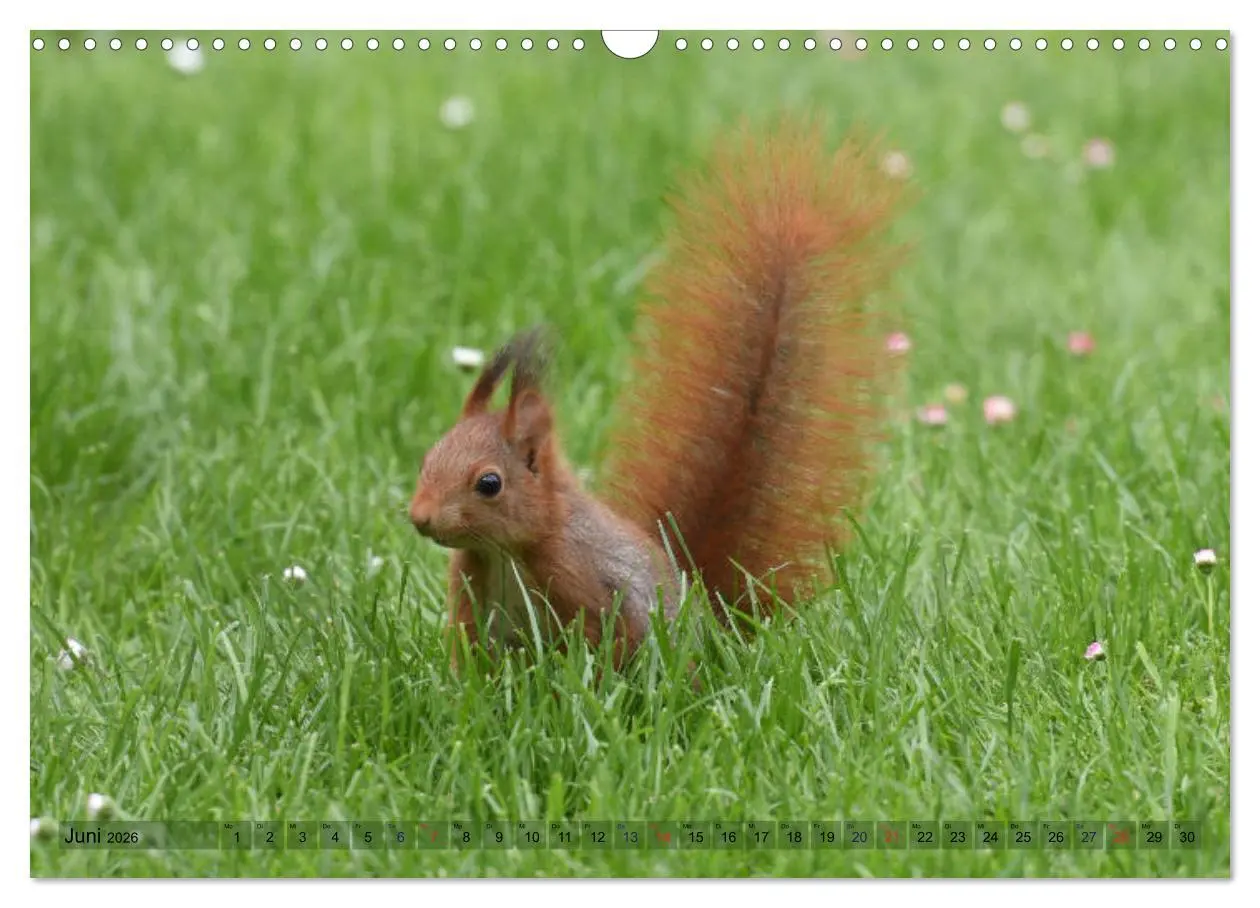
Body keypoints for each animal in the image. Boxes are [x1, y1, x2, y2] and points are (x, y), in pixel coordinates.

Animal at [409, 120, 907, 672]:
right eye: (426, 459)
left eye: (489, 484)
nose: (420, 517)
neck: (507, 551)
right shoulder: (473, 594)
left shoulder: (584, 581)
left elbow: (604, 641)